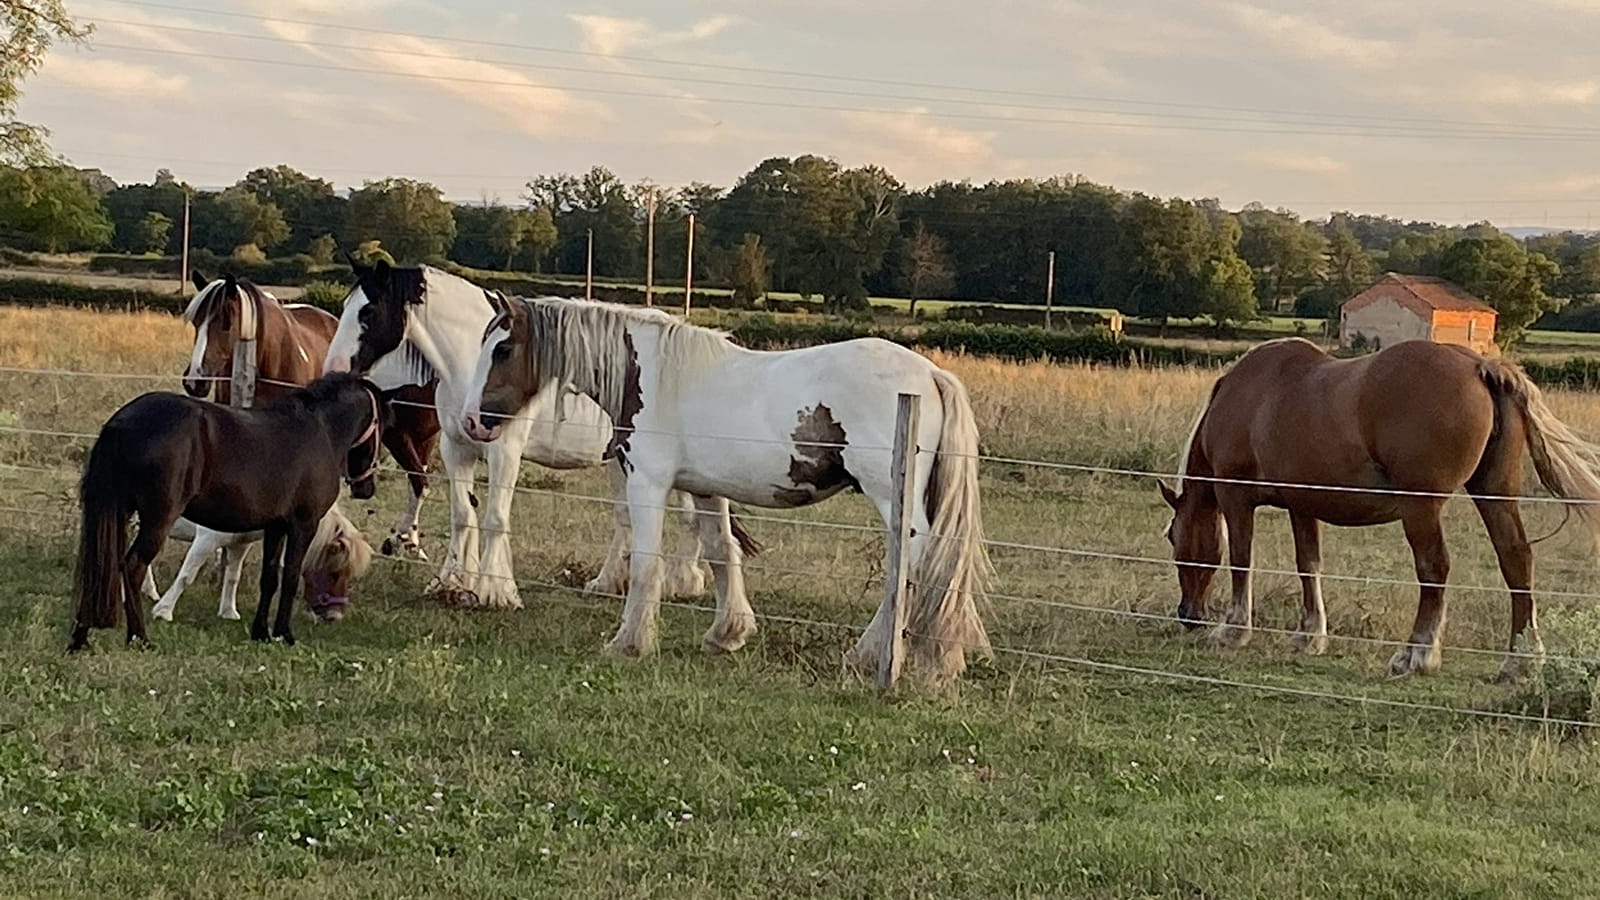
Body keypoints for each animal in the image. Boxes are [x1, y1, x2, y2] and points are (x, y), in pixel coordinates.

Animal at [68, 373, 393, 650]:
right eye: (337, 572)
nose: (366, 487)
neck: (320, 431)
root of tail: (122, 421)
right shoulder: (303, 524)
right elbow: (289, 577)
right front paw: (284, 634)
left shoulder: (274, 527)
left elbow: (269, 578)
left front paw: (261, 633)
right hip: (156, 520)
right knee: (133, 567)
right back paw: (139, 638)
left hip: (119, 514)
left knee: (103, 564)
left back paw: (81, 638)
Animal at [324, 262, 736, 605]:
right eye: (346, 306)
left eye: (368, 311)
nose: (333, 368)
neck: (471, 364)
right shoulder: (457, 449)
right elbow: (462, 516)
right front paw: (451, 582)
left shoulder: (504, 452)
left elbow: (495, 519)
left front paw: (495, 591)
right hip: (619, 460)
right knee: (626, 518)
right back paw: (608, 582)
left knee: (688, 519)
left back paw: (681, 582)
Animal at [457, 294, 992, 679]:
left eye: (502, 349)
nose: (471, 421)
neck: (651, 375)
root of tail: (931, 373)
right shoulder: (705, 489)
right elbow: (721, 553)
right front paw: (727, 633)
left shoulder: (647, 485)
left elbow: (647, 565)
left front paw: (629, 643)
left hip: (892, 498)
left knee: (912, 569)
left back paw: (870, 654)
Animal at [1164, 337, 1600, 679]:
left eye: (1172, 537)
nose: (1187, 613)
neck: (1250, 392)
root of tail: (1480, 366)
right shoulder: (1303, 504)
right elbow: (1309, 565)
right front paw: (1310, 635)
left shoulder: (1235, 496)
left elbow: (1242, 561)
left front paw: (1233, 630)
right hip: (1494, 494)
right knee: (1516, 560)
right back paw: (1520, 660)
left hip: (1421, 508)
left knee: (1434, 569)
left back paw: (1417, 655)